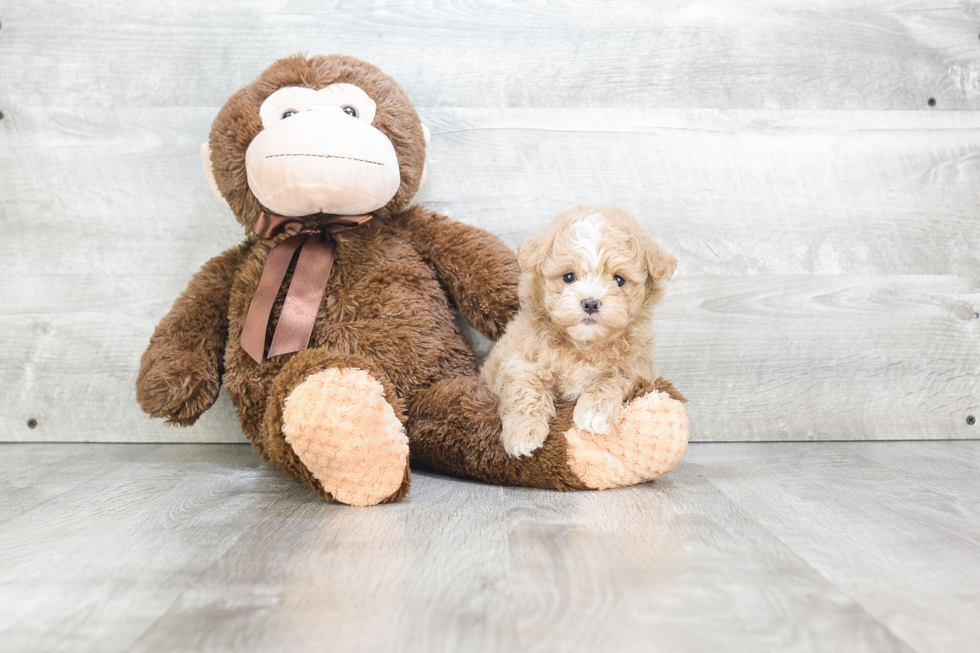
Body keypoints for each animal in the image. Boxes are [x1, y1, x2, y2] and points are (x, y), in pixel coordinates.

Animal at [480, 206, 676, 456]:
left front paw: (595, 412)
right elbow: (525, 387)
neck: (584, 345)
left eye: (619, 280)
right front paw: (524, 433)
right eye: (569, 277)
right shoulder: (518, 358)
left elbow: (614, 377)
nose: (590, 303)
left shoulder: (639, 368)